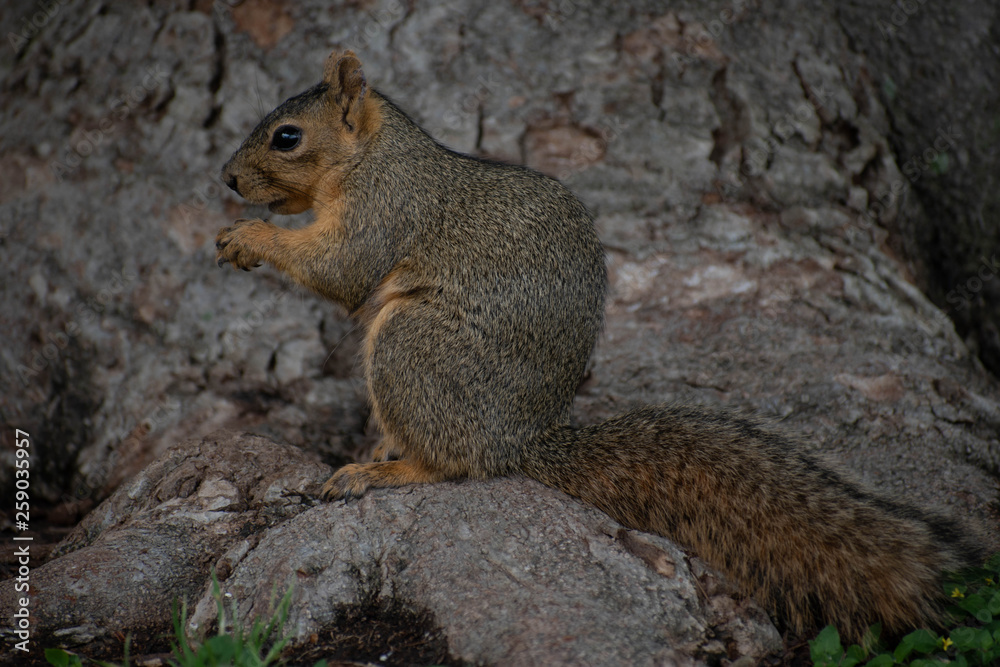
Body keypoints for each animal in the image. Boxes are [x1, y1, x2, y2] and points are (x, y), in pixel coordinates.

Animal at [213, 48, 984, 640]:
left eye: (286, 137)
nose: (227, 179)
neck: (371, 153)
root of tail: (523, 438)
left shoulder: (385, 205)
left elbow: (342, 269)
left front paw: (249, 237)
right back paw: (380, 449)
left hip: (414, 344)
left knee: (455, 462)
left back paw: (388, 470)